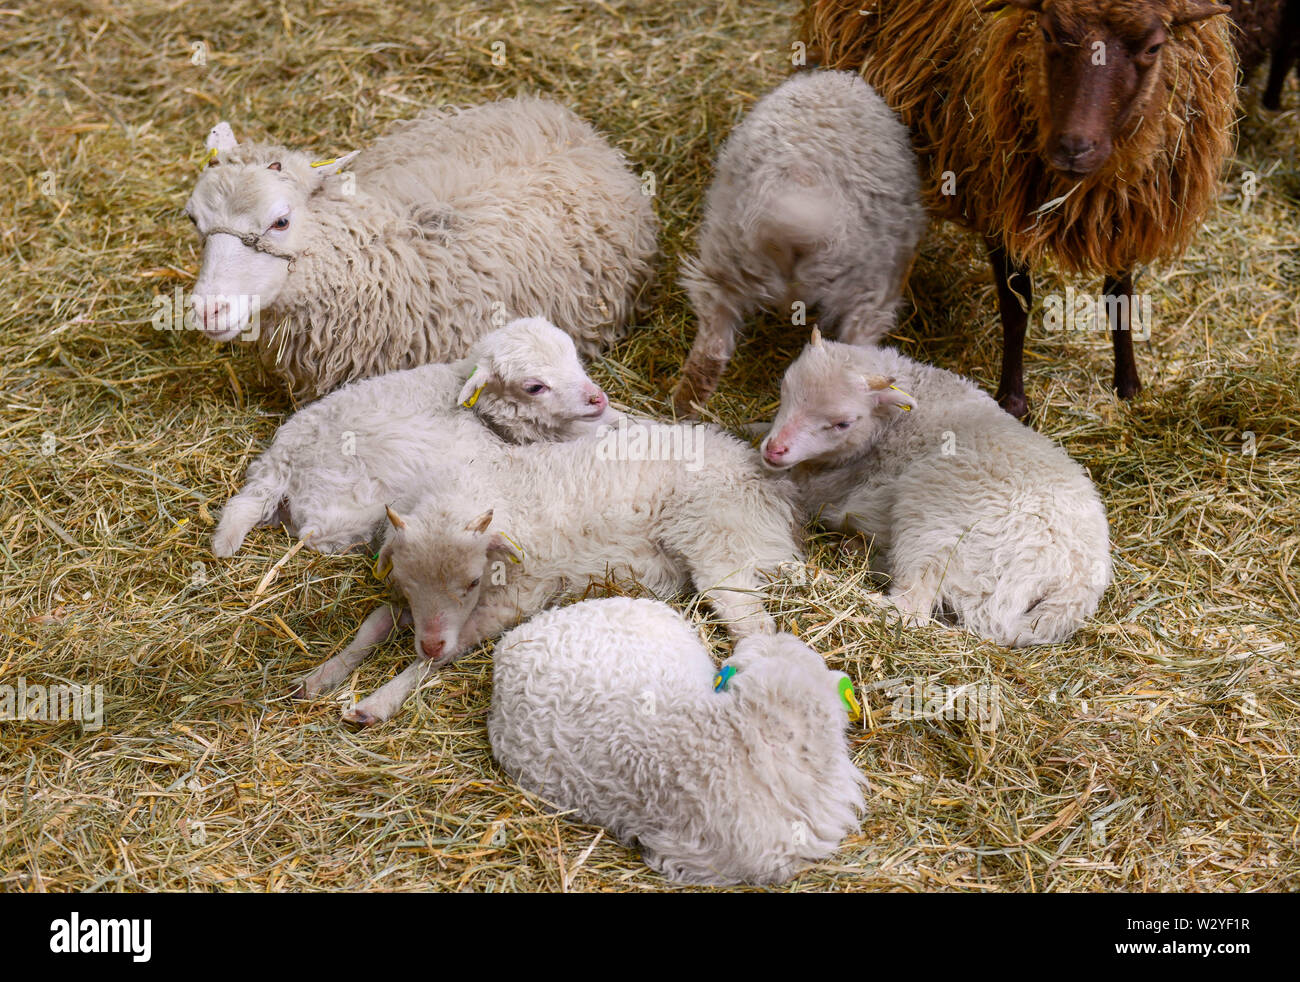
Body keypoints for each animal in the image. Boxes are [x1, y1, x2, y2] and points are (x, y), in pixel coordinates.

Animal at [211, 317, 614, 558]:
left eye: (574, 356)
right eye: (534, 387)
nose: (597, 397)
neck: (483, 417)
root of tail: (281, 463)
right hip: (346, 506)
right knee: (315, 534)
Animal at [298, 420, 804, 725]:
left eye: (472, 581)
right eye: (407, 581)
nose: (430, 640)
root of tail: (767, 482)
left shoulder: (513, 600)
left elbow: (443, 656)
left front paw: (378, 701)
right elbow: (376, 621)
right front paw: (322, 675)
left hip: (717, 545)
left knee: (755, 626)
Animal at [672, 70, 925, 416]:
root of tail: (802, 178)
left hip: (726, 261)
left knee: (712, 342)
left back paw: (685, 402)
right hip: (869, 285)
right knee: (857, 350)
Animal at [760, 330, 1112, 647]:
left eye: (843, 423)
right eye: (784, 388)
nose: (774, 450)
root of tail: (1075, 586)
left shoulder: (825, 487)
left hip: (935, 525)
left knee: (908, 610)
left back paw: (812, 577)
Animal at [800, 0, 1236, 416]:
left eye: (1153, 47)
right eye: (1048, 33)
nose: (1074, 148)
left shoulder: (1126, 212)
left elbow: (1121, 300)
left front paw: (1128, 386)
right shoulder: (998, 202)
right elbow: (1016, 307)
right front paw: (1012, 400)